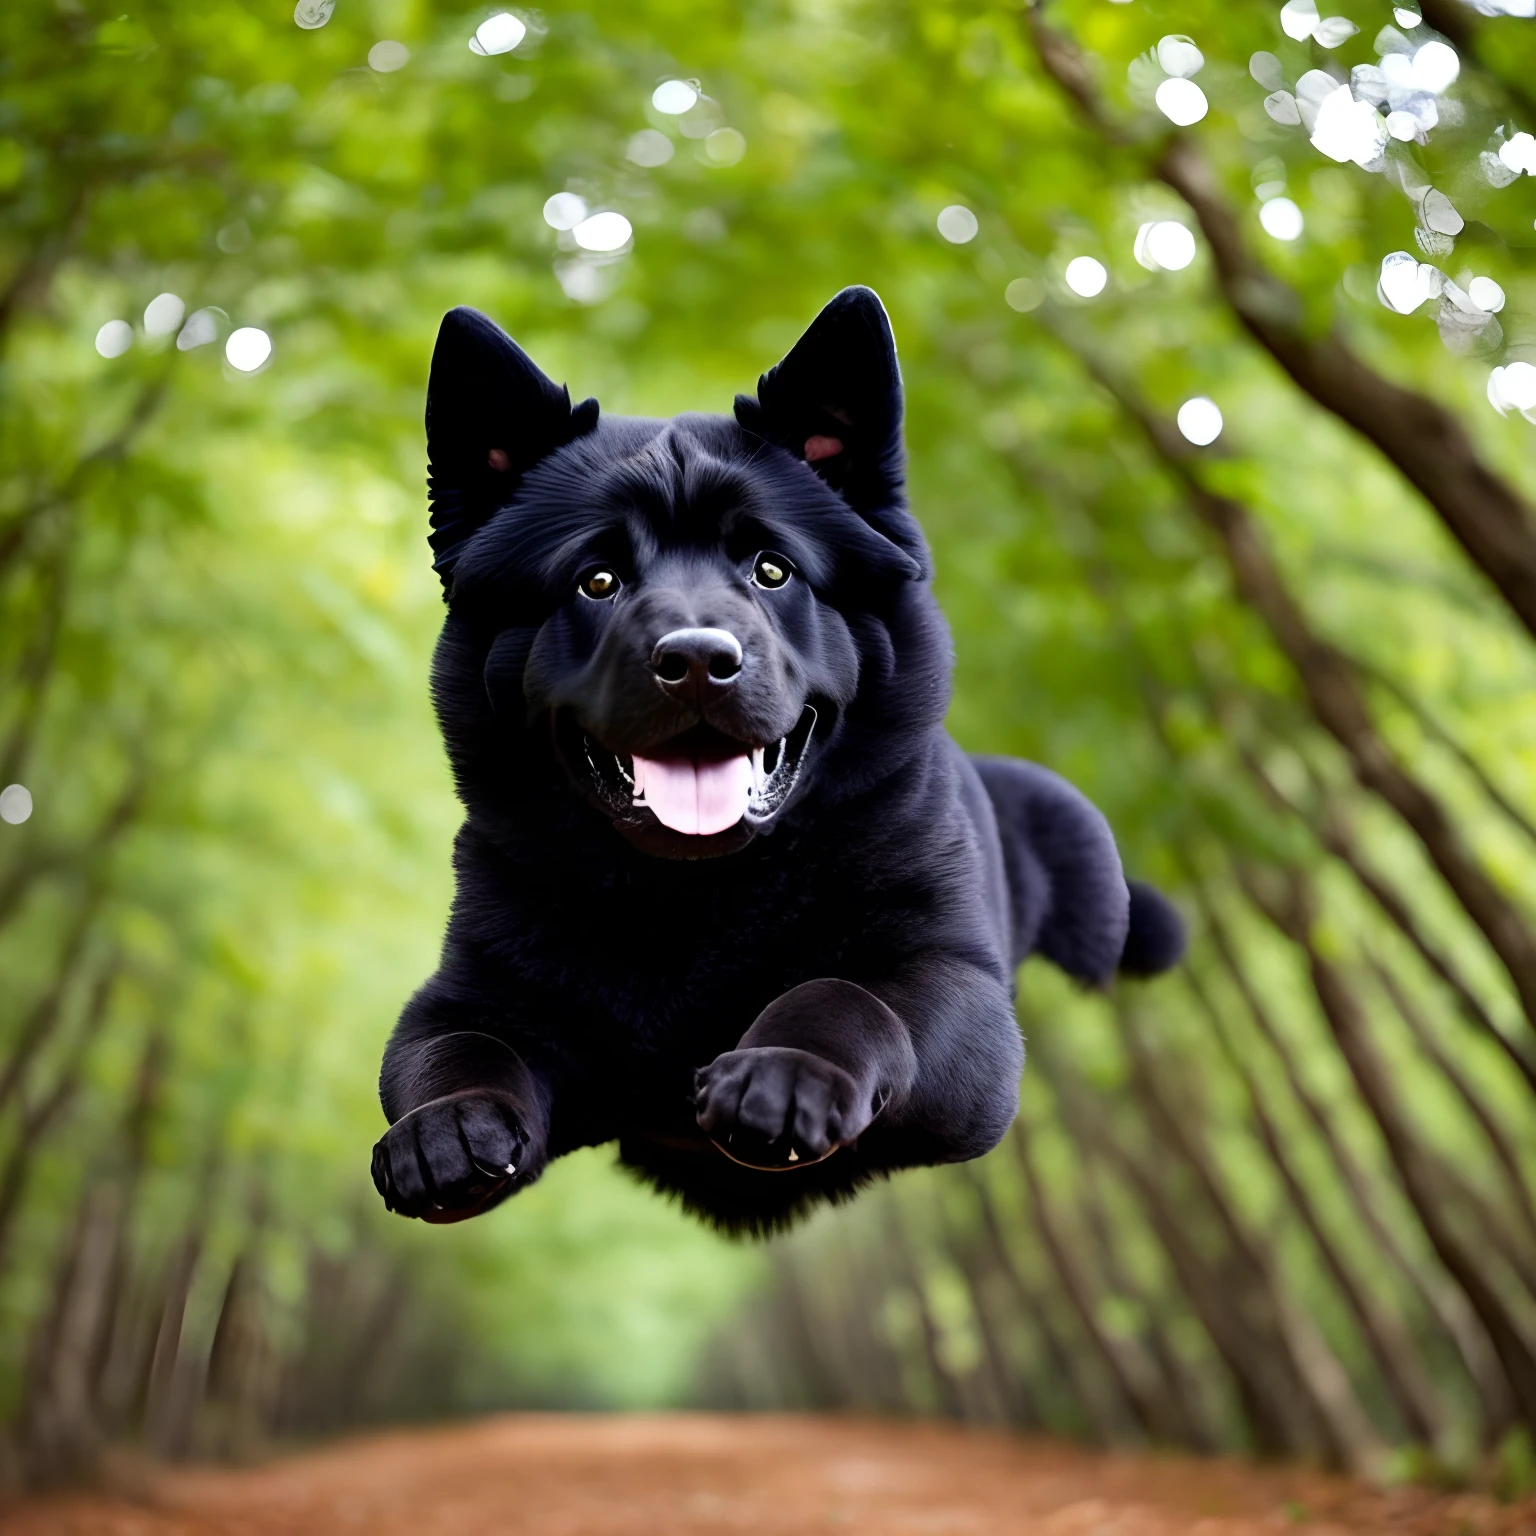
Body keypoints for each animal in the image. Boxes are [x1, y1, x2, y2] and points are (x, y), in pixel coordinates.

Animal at [371, 288, 1185, 1228]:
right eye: (597, 579)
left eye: (771, 569)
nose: (697, 659)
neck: (693, 897)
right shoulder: (467, 992)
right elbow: (451, 1049)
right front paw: (444, 1129)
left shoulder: (958, 988)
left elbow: (845, 993)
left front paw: (787, 1075)